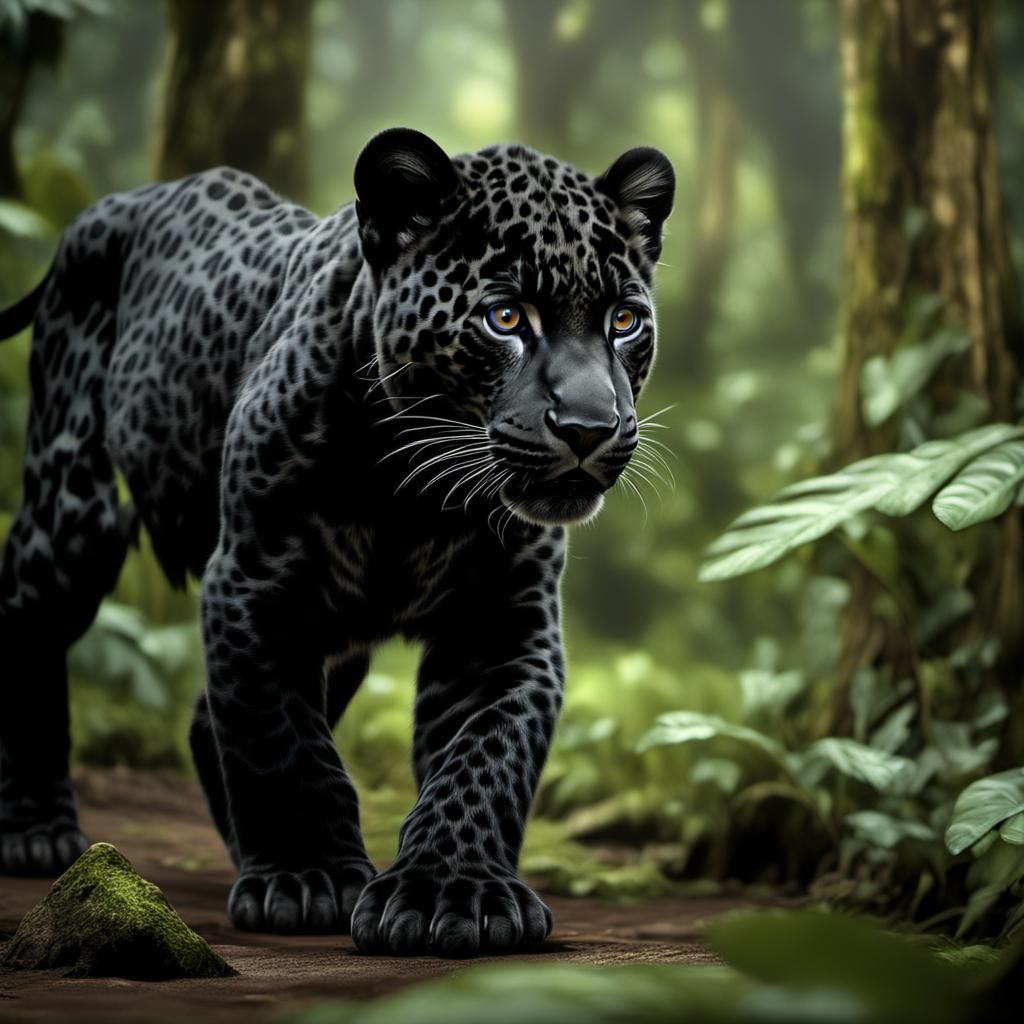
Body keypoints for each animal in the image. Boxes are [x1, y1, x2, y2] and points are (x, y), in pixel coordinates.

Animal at [0, 127, 674, 957]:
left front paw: (454, 891)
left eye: (624, 321)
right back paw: (36, 832)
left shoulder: (502, 618)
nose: (588, 428)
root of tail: (113, 203)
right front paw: (306, 878)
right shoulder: (256, 582)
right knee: (30, 629)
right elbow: (280, 740)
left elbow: (486, 751)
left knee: (206, 718)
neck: (415, 495)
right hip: (74, 510)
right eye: (506, 317)